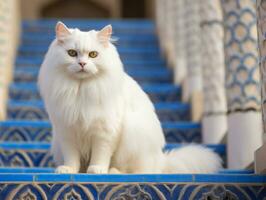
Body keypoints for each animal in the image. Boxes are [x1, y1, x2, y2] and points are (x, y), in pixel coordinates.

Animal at [37, 21, 220, 173]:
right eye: (72, 53)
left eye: (93, 55)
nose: (82, 64)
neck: (81, 90)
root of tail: (161, 161)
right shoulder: (66, 131)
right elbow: (72, 157)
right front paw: (68, 170)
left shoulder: (104, 131)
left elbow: (100, 154)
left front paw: (97, 170)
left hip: (133, 130)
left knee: (136, 171)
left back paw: (113, 171)